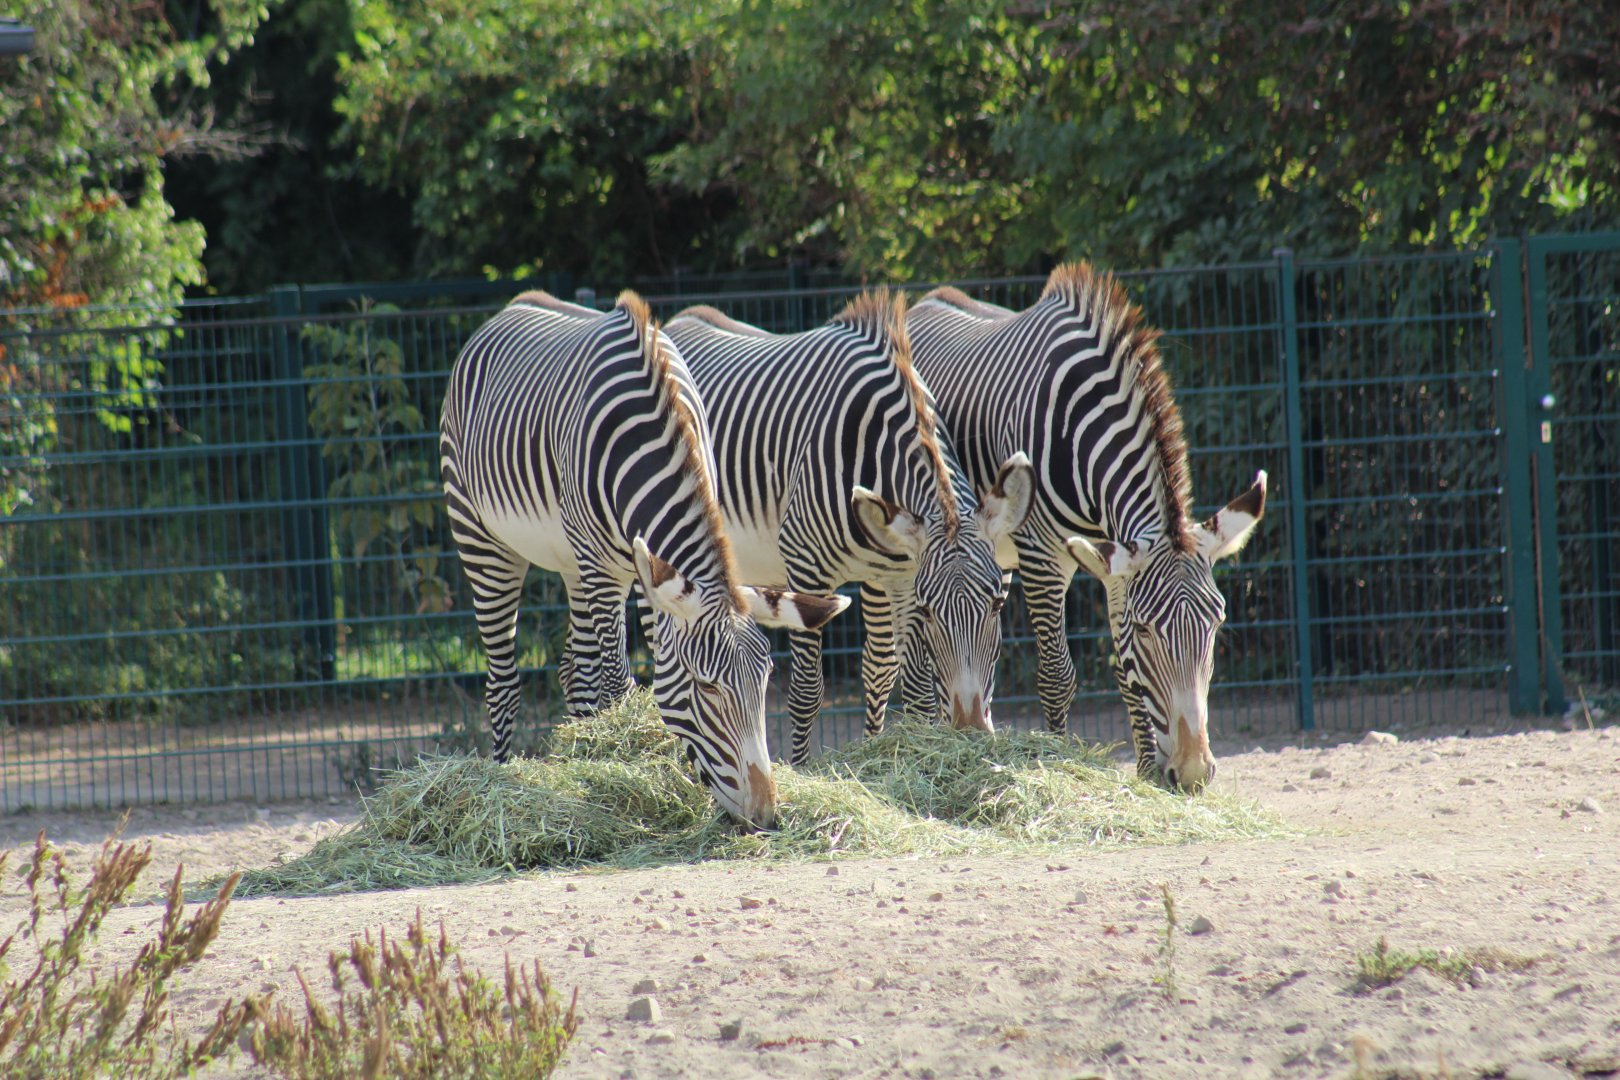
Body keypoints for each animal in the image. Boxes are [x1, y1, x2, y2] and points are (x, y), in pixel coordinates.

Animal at [439, 290, 849, 828]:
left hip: (571, 561)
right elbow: (618, 686)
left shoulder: (647, 571)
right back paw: (502, 777)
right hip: (482, 537)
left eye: (764, 685)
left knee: (574, 671)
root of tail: (514, 306)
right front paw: (629, 770)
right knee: (504, 681)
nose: (764, 816)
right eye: (707, 688)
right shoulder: (605, 569)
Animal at [664, 291, 1034, 765]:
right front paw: (802, 769)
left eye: (996, 604)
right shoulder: (806, 568)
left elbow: (906, 682)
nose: (970, 728)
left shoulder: (899, 575)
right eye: (930, 610)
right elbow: (806, 692)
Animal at [907, 264, 1266, 791]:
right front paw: (1056, 759)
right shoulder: (1043, 556)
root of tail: (924, 302)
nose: (1193, 774)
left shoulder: (1111, 559)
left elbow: (1125, 673)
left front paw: (1146, 774)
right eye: (1145, 630)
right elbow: (1057, 676)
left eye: (1217, 623)